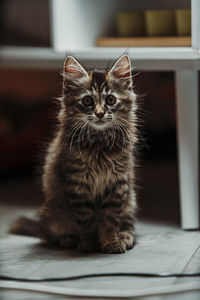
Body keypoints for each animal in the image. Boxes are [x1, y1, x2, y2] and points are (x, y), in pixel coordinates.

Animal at [9, 54, 138, 253]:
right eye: (87, 101)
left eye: (110, 100)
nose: (100, 113)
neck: (99, 144)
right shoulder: (77, 185)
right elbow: (87, 219)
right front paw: (89, 243)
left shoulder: (118, 184)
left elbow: (110, 219)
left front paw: (112, 241)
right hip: (51, 211)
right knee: (49, 235)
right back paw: (68, 239)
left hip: (130, 202)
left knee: (127, 224)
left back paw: (125, 236)